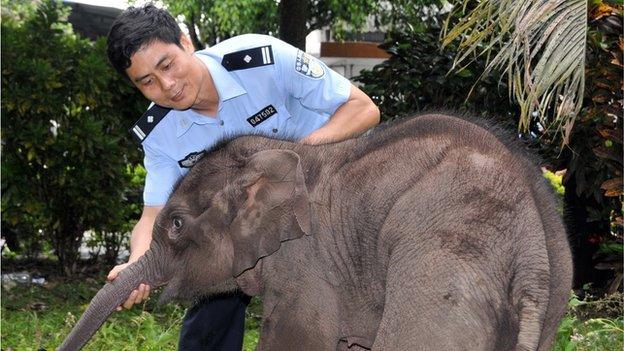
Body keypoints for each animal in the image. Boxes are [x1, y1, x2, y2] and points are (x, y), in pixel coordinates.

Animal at [58, 113, 572, 351]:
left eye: (177, 225)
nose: (127, 283)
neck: (282, 153)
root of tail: (531, 252)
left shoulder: (306, 264)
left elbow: (297, 338)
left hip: (442, 264)